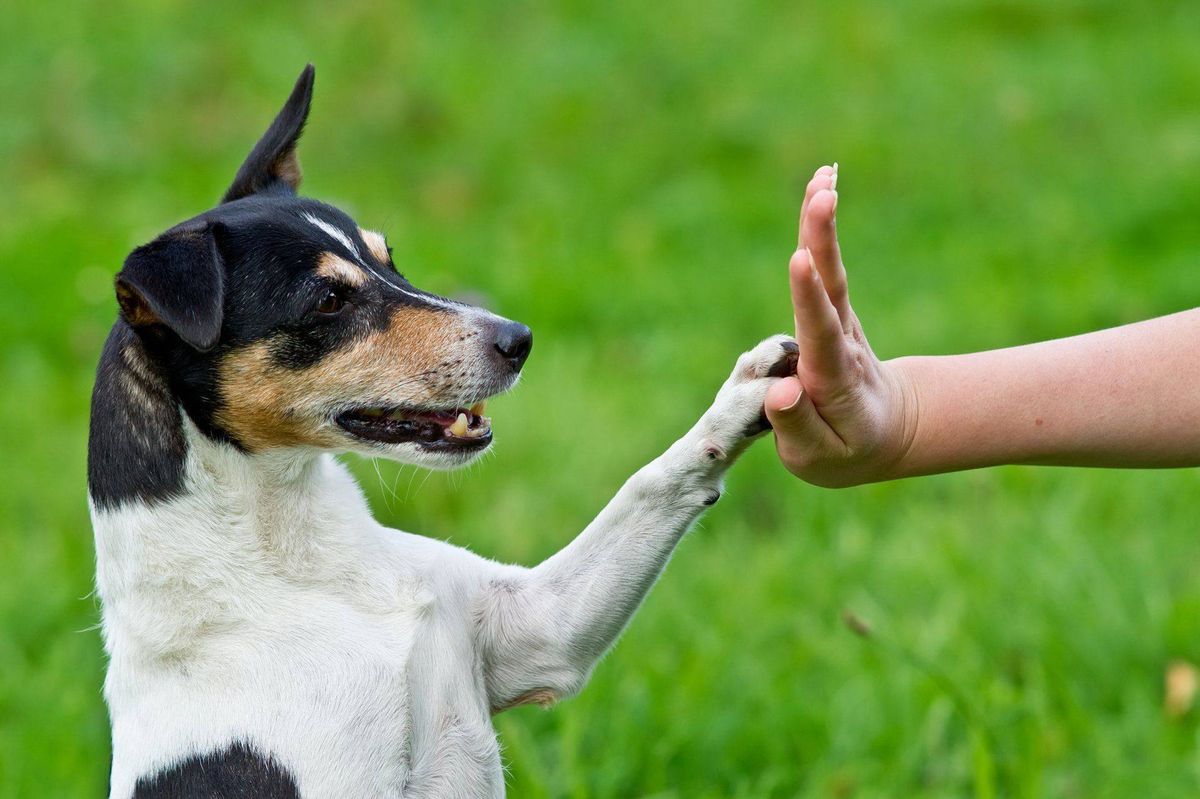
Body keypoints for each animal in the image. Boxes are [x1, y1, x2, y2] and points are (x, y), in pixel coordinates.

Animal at [88, 65, 801, 791]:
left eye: (389, 259)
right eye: (329, 300)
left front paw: (748, 393)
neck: (295, 562)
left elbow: (652, 483)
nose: (519, 339)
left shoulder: (540, 629)